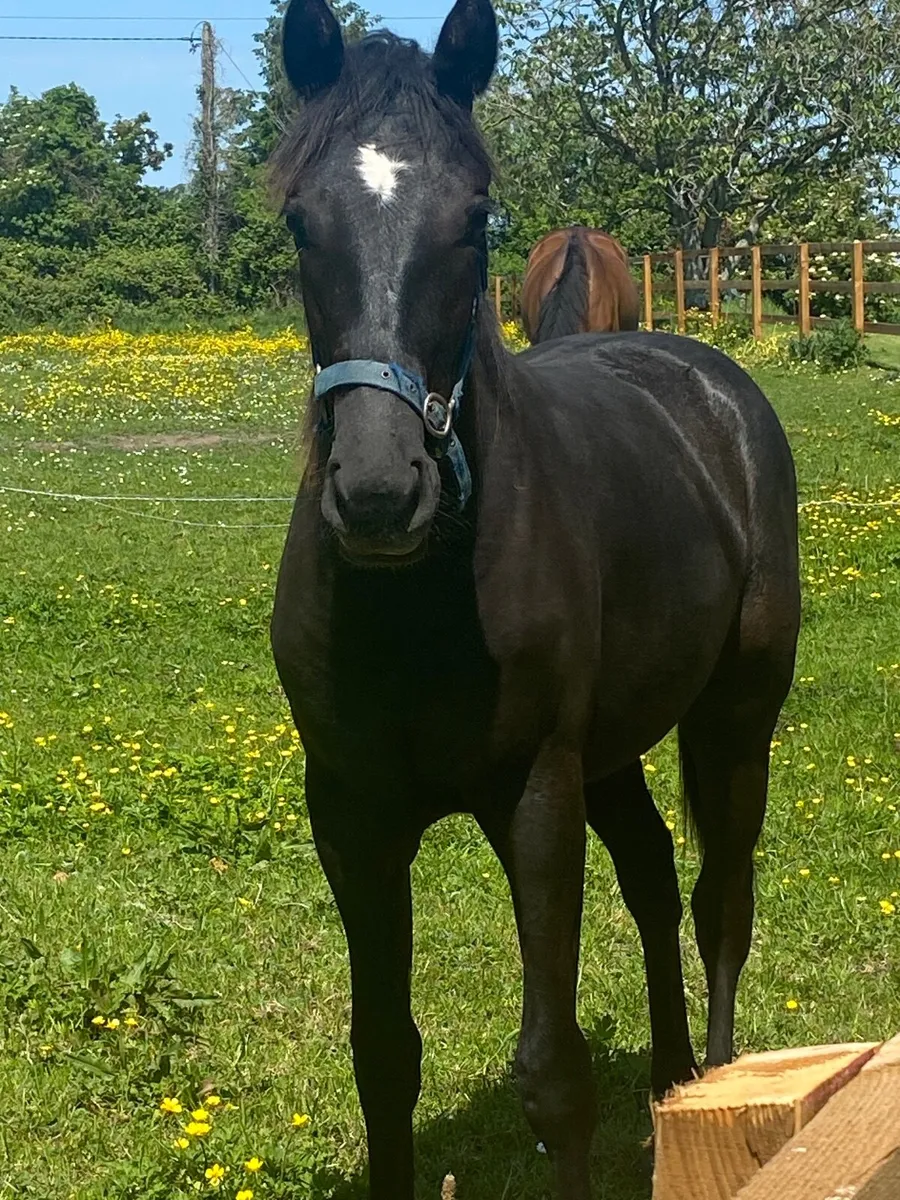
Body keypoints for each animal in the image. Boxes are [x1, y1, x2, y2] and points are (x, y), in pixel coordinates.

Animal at [269, 2, 800, 1197]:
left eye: (474, 220)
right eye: (300, 222)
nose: (381, 494)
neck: (417, 609)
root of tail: (710, 381)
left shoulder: (536, 797)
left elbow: (554, 1073)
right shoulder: (352, 813)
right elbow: (384, 1054)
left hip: (734, 717)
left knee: (722, 902)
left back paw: (720, 1087)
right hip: (613, 747)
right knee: (653, 874)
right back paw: (671, 1086)